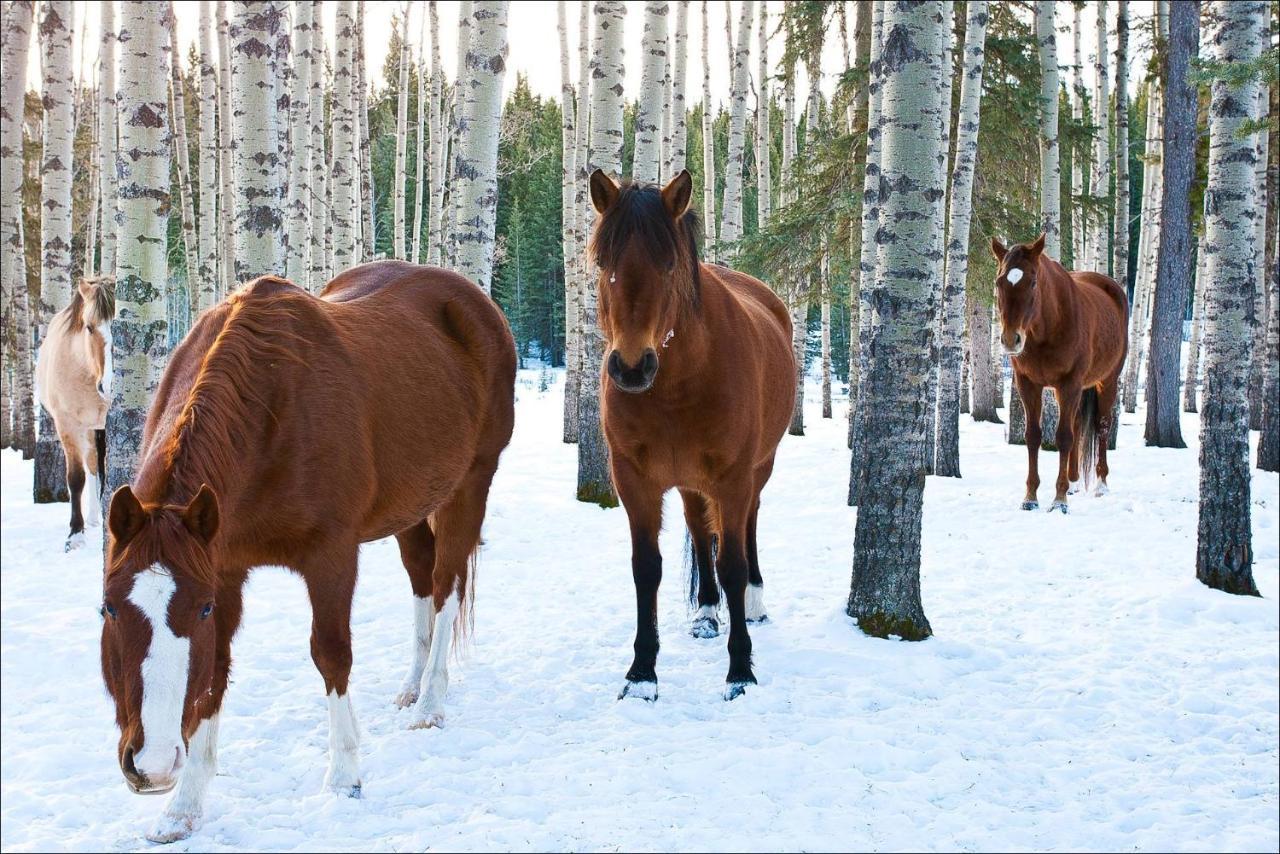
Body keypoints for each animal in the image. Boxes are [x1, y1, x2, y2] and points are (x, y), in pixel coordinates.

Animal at [35, 277, 114, 550]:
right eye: (89, 327)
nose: (109, 385)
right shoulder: (68, 425)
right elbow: (76, 477)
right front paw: (75, 533)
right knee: (91, 466)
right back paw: (92, 518)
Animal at [98, 263, 514, 845]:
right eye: (109, 608)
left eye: (199, 610)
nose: (153, 764)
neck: (270, 411)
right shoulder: (223, 566)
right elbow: (215, 670)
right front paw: (184, 807)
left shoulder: (330, 557)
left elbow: (331, 654)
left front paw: (344, 775)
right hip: (412, 507)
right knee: (422, 580)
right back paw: (411, 687)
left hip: (468, 487)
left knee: (448, 584)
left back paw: (430, 702)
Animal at [588, 170, 788, 706]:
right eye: (602, 262)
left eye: (669, 263)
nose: (631, 367)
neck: (678, 383)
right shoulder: (635, 482)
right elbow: (646, 569)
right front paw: (642, 674)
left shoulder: (734, 478)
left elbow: (732, 563)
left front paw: (740, 671)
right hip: (690, 482)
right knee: (700, 531)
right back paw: (705, 612)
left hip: (757, 471)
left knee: (749, 527)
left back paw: (754, 602)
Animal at [993, 234, 1126, 514]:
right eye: (999, 282)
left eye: (1033, 282)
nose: (1010, 339)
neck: (1048, 326)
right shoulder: (1028, 384)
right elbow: (1033, 436)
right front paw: (1030, 497)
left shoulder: (1070, 384)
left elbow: (1063, 437)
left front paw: (1059, 500)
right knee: (1076, 424)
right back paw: (1074, 482)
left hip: (1106, 381)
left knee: (1102, 426)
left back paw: (1101, 484)